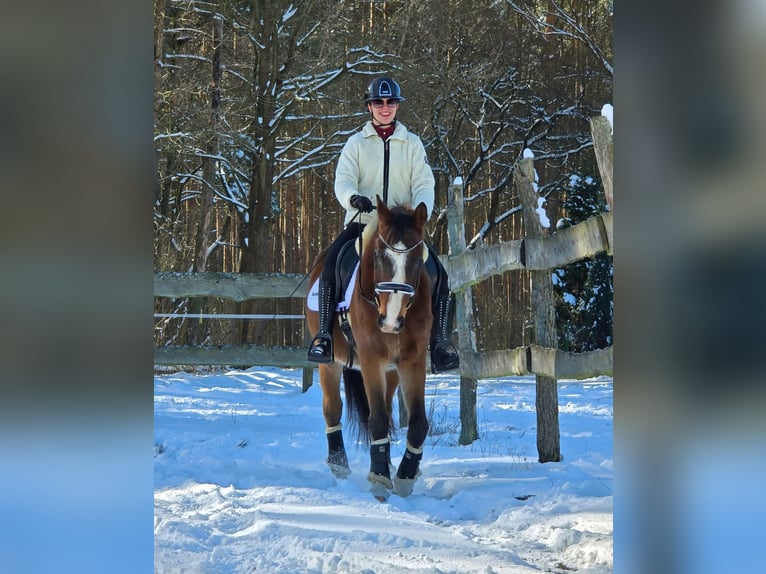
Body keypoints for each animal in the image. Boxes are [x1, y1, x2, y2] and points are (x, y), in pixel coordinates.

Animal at [305, 196, 432, 500]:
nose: (390, 321)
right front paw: (379, 479)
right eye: (379, 257)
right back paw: (339, 464)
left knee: (385, 407)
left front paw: (405, 476)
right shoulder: (371, 359)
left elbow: (417, 421)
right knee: (333, 408)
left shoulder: (412, 361)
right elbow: (377, 419)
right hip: (330, 364)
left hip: (391, 371)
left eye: (416, 259)